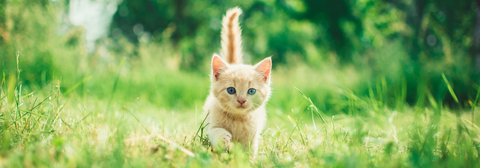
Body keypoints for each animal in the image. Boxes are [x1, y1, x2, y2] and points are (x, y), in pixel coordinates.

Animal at [202, 6, 272, 157]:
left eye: (251, 91)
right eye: (231, 90)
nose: (241, 100)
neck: (237, 119)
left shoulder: (252, 136)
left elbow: (249, 151)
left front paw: (248, 160)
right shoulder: (211, 124)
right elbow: (214, 131)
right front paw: (222, 137)